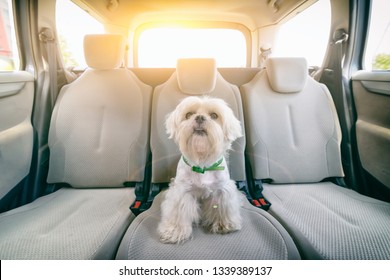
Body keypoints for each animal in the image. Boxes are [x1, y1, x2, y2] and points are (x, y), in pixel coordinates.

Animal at [158, 95, 244, 243]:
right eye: (188, 114)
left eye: (214, 115)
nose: (199, 117)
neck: (202, 163)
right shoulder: (181, 192)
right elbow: (178, 213)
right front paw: (174, 231)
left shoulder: (222, 189)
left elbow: (222, 208)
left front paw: (224, 225)